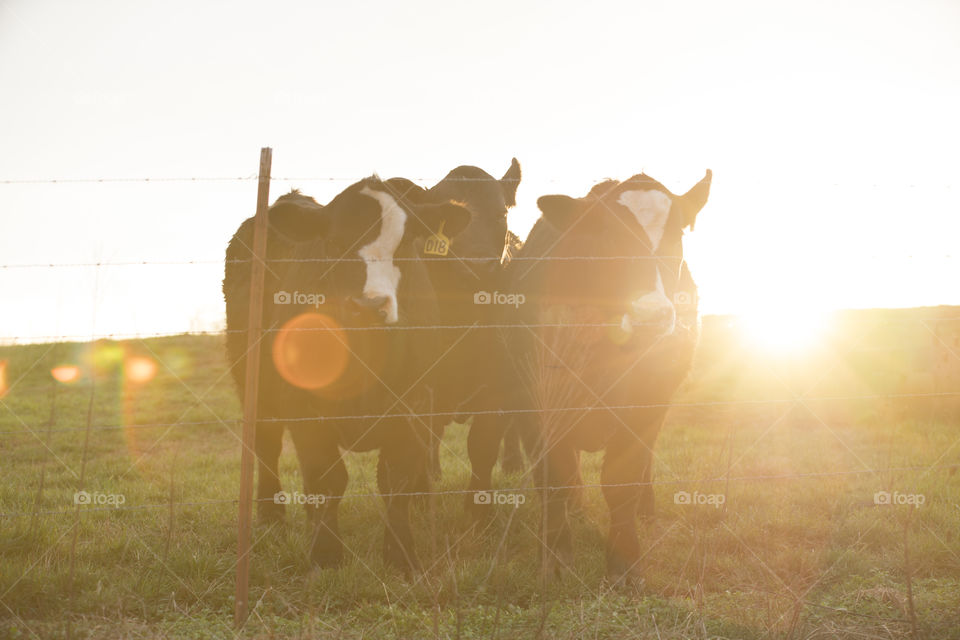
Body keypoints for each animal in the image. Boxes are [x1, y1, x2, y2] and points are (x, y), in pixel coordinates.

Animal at [220, 176, 468, 568]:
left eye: (405, 244)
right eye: (335, 244)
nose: (368, 304)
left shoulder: (413, 405)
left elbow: (395, 479)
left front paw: (401, 555)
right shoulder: (303, 407)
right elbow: (327, 479)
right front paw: (325, 554)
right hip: (251, 383)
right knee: (266, 446)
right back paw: (272, 516)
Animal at [502, 168, 712, 584]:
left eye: (677, 235)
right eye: (607, 239)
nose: (652, 316)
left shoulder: (650, 398)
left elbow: (622, 479)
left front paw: (625, 562)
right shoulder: (534, 399)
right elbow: (555, 478)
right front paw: (554, 558)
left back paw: (646, 508)